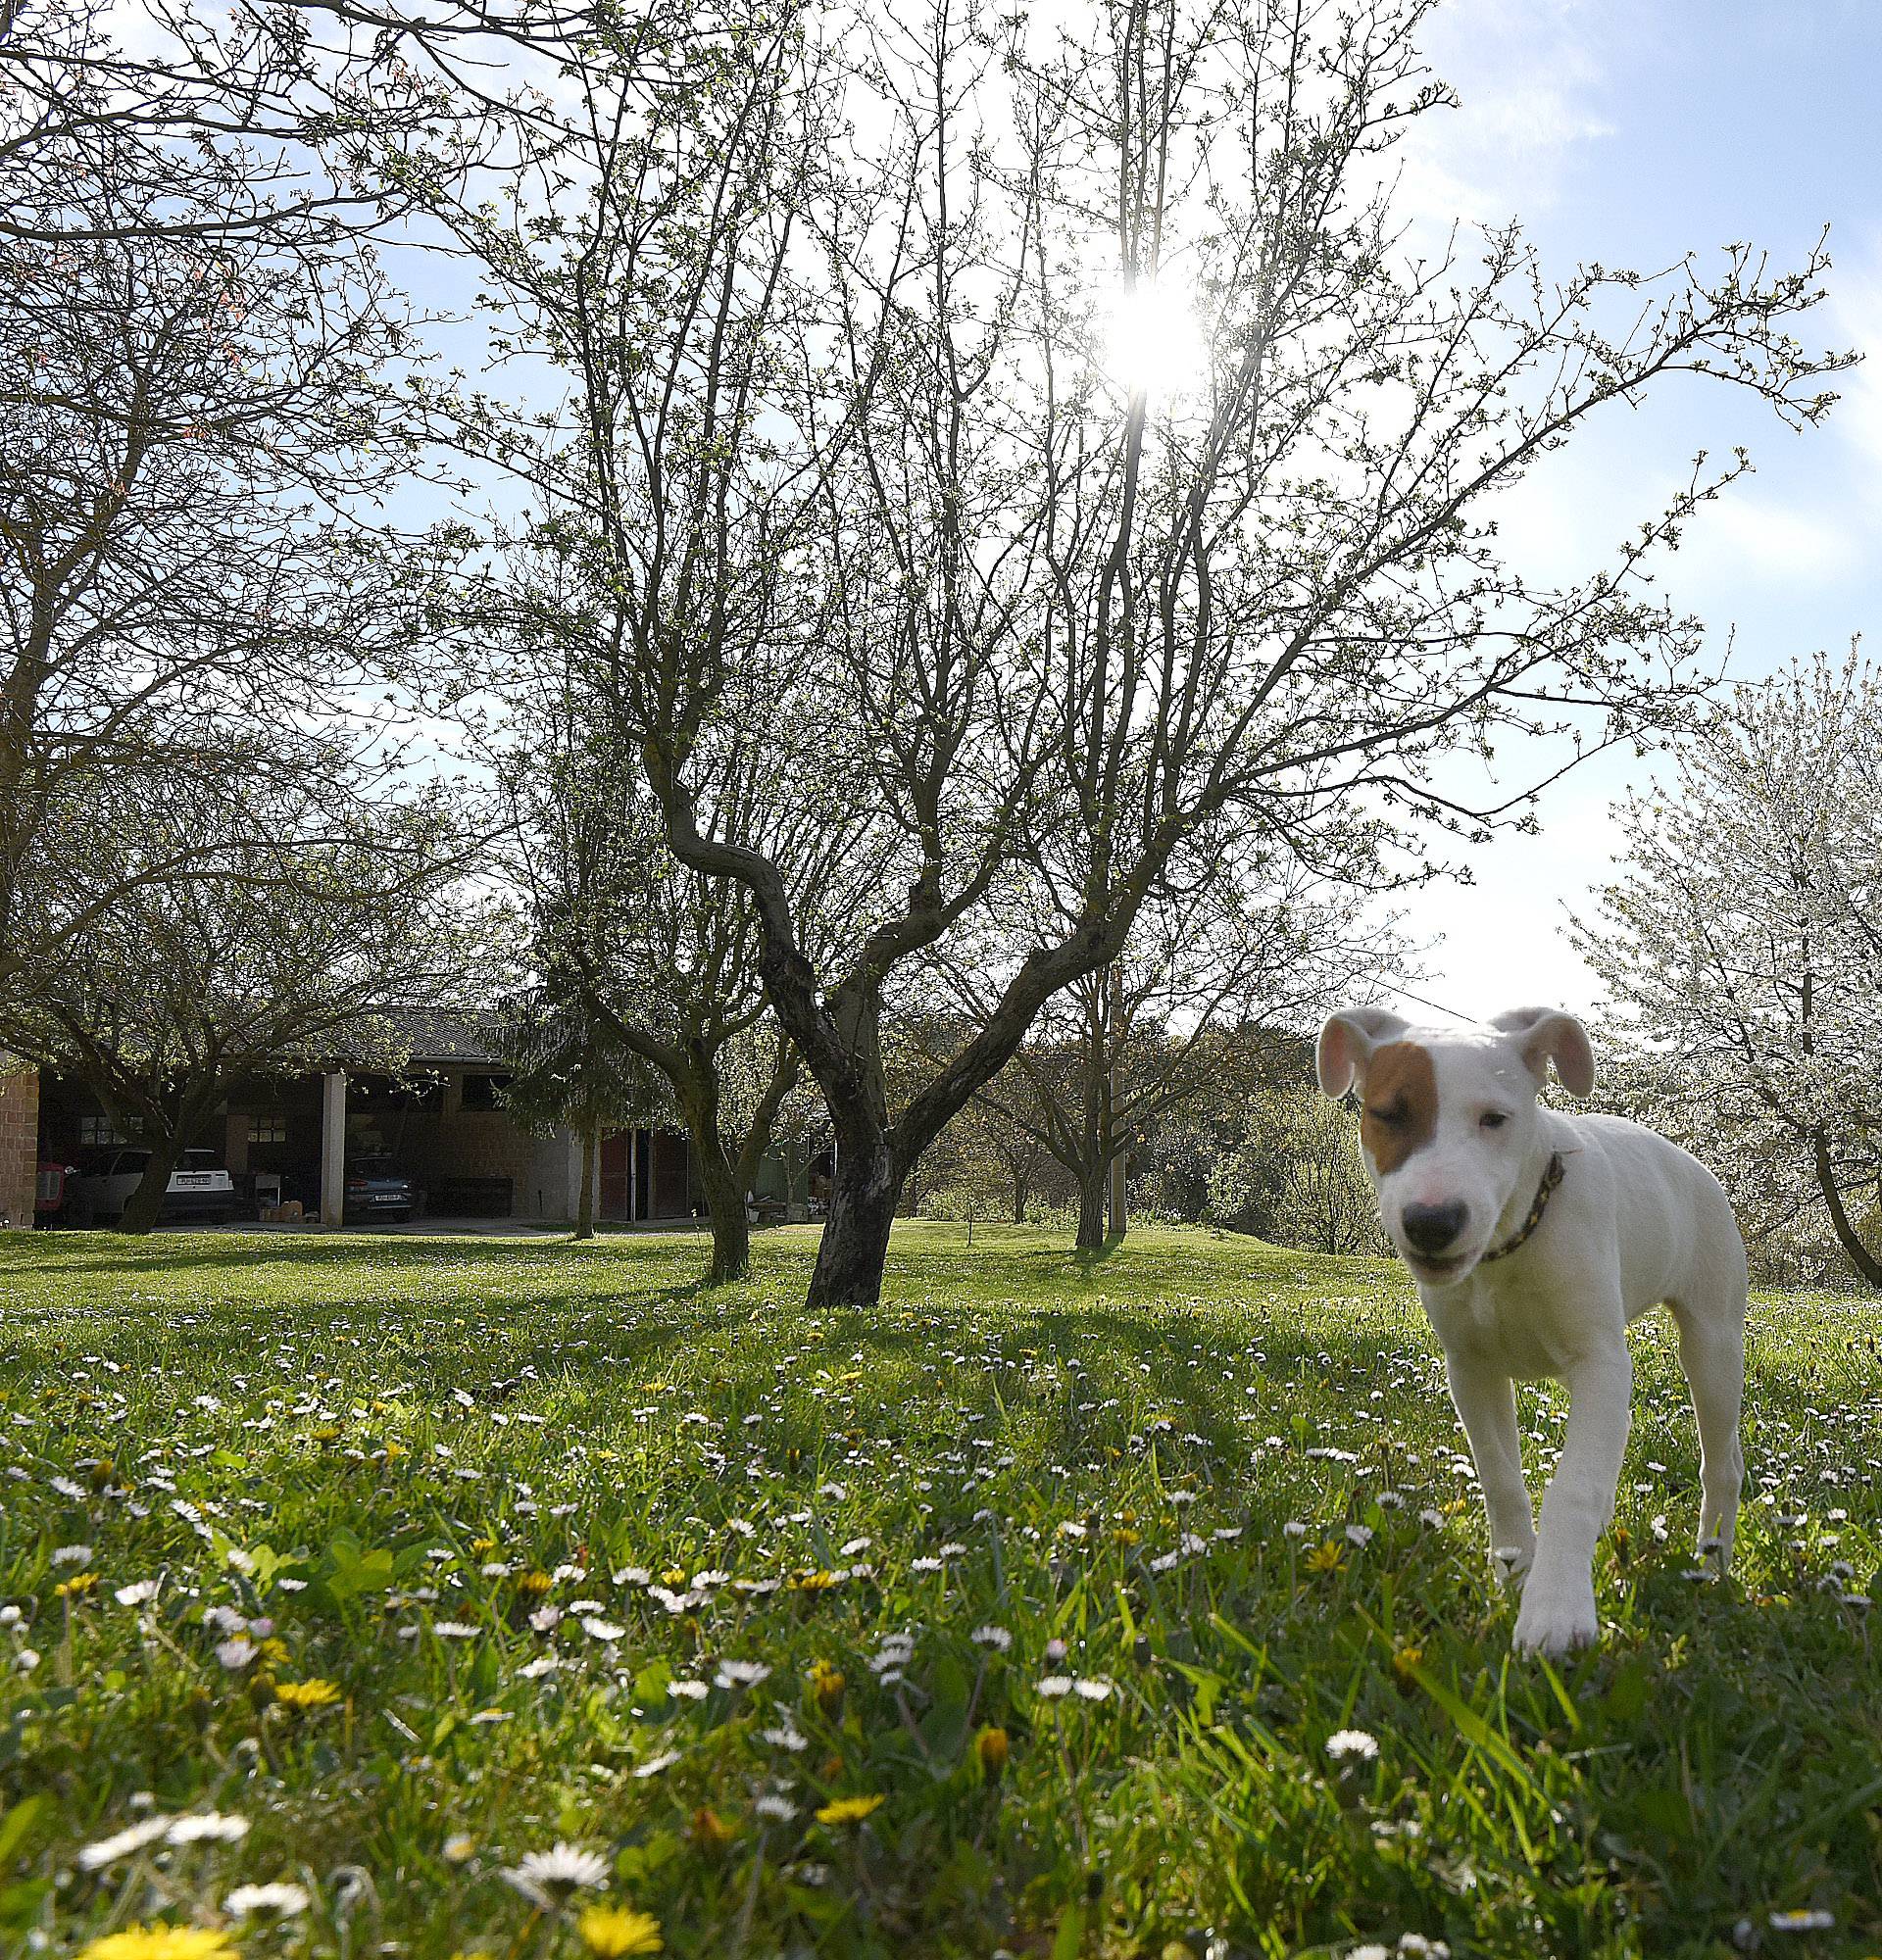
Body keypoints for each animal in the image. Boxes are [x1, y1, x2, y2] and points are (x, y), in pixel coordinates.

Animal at [1317, 1011, 1741, 1654]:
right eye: (1388, 1115)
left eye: (1496, 1119)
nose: (1433, 1222)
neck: (1510, 1245)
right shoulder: (1472, 1370)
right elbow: (1501, 1477)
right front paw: (1517, 1572)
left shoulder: (1599, 1364)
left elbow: (1574, 1485)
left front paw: (1555, 1608)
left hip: (1712, 1340)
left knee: (1721, 1460)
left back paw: (1712, 1561)